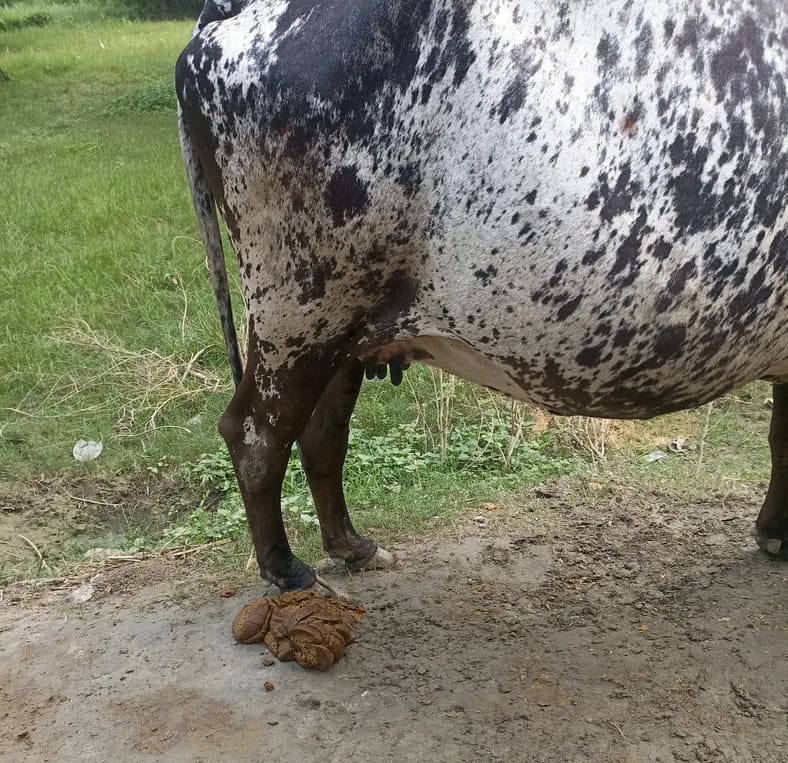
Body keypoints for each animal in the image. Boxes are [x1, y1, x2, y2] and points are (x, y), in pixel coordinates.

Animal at [176, 0, 788, 591]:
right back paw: (285, 569)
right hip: (301, 311)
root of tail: (230, 13)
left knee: (320, 434)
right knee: (255, 436)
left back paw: (353, 548)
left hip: (338, 331)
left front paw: (774, 532)